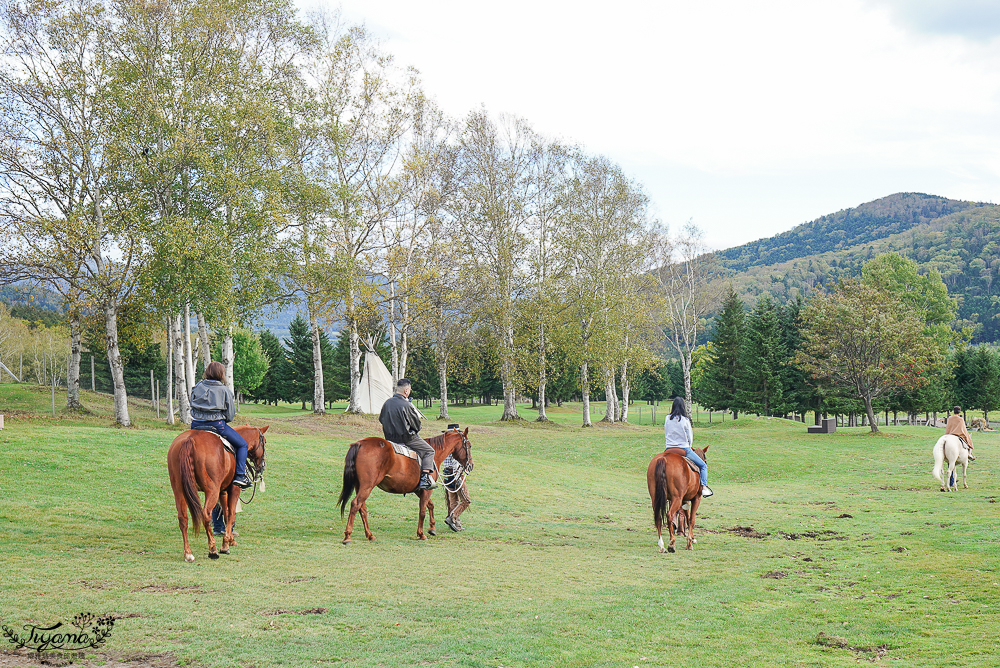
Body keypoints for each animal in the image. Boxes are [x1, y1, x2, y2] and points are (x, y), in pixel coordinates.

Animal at [167, 425, 268, 562]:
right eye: (264, 442)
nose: (262, 465)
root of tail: (190, 439)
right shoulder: (233, 490)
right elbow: (231, 515)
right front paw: (225, 545)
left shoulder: (222, 491)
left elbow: (226, 514)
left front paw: (230, 540)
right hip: (212, 490)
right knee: (206, 514)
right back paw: (213, 550)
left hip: (178, 489)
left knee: (183, 518)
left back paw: (188, 553)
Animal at [337, 428, 473, 544]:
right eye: (470, 446)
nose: (471, 465)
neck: (434, 453)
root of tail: (360, 443)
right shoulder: (426, 490)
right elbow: (422, 511)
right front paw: (421, 534)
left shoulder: (419, 490)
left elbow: (430, 505)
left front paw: (432, 528)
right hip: (367, 486)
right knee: (355, 504)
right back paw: (347, 536)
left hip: (360, 486)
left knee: (362, 508)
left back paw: (370, 535)